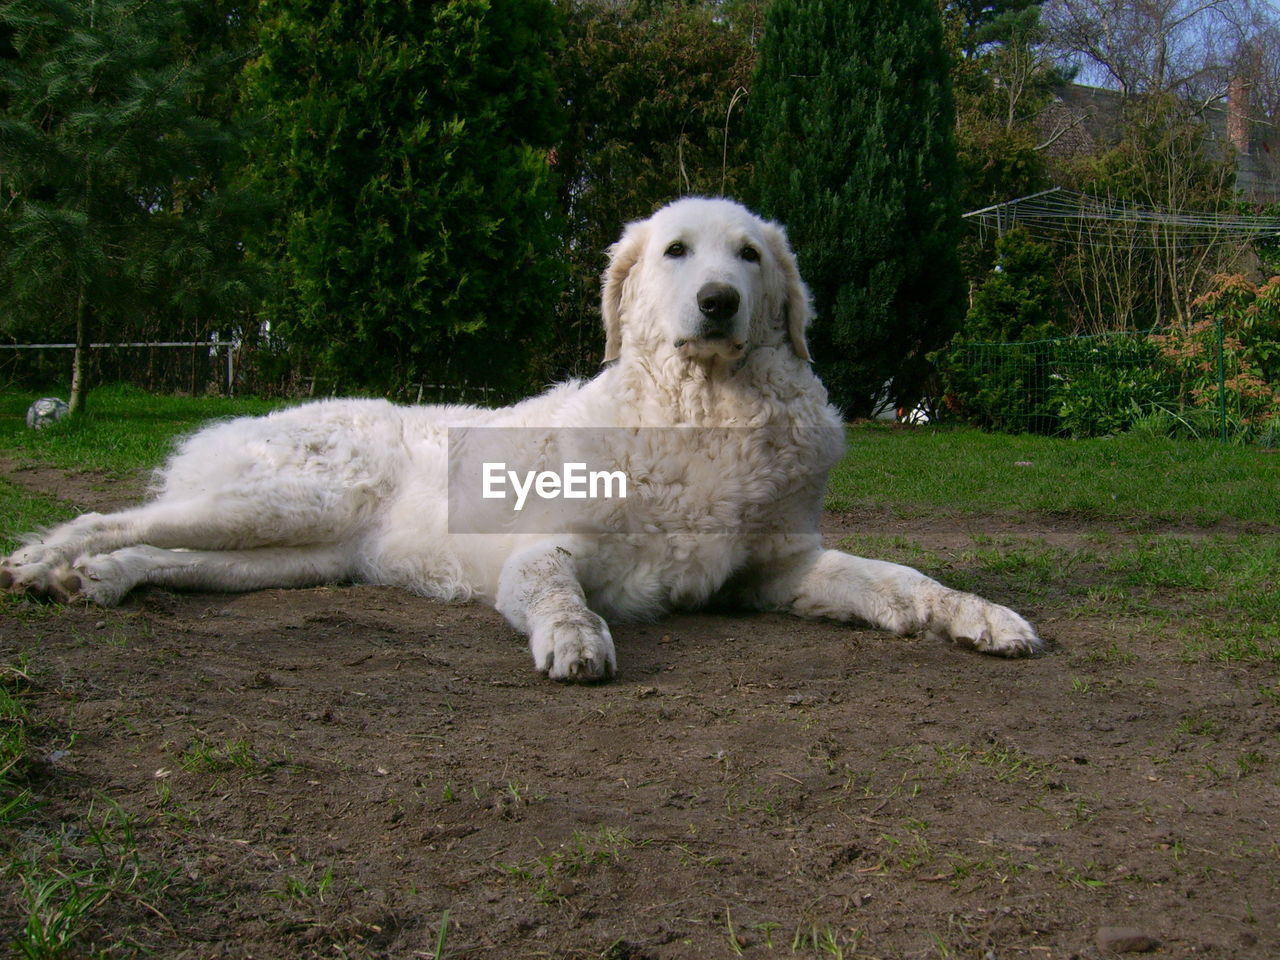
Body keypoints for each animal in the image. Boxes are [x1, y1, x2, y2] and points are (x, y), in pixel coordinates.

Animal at [2, 197, 1039, 675]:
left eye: (749, 255)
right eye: (676, 252)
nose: (718, 301)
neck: (702, 417)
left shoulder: (777, 568)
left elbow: (898, 579)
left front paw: (980, 615)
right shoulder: (543, 546)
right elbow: (552, 587)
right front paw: (576, 640)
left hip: (304, 555)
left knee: (167, 553)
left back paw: (100, 580)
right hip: (292, 499)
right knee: (111, 516)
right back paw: (46, 561)